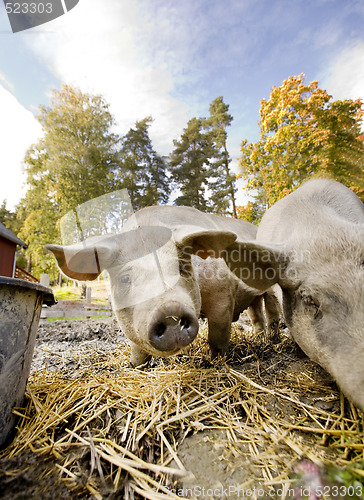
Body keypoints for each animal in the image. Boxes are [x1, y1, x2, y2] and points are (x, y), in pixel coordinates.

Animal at [44, 205, 278, 366]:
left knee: (273, 313)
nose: (169, 310)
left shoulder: (222, 295)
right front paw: (134, 367)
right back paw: (259, 337)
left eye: (181, 268)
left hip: (273, 285)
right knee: (257, 315)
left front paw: (216, 362)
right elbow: (137, 350)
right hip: (253, 298)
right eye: (125, 279)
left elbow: (217, 336)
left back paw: (273, 341)